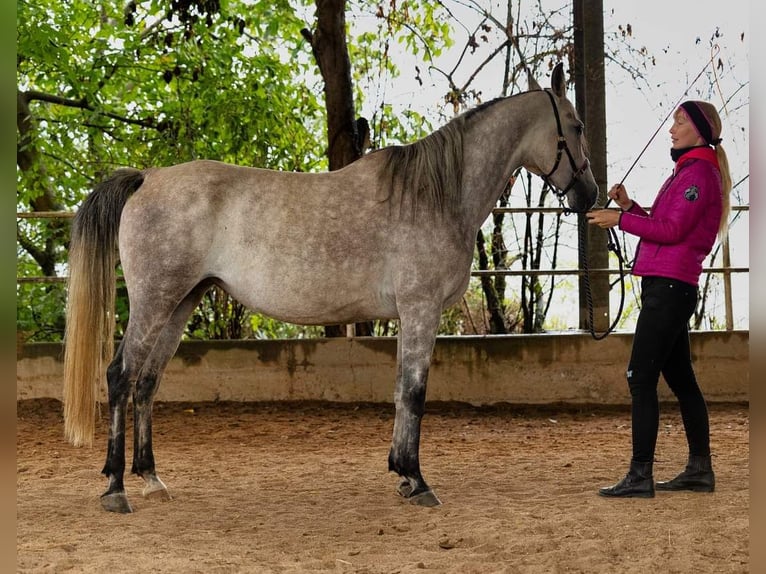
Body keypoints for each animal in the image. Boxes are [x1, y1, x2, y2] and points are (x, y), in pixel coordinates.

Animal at [63, 62, 598, 513]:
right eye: (575, 126)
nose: (589, 195)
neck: (436, 194)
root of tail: (147, 177)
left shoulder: (408, 315)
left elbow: (401, 390)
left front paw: (401, 474)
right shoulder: (421, 309)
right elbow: (416, 392)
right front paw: (418, 481)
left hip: (180, 303)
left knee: (147, 381)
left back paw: (151, 478)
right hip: (155, 301)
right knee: (120, 376)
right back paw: (116, 489)